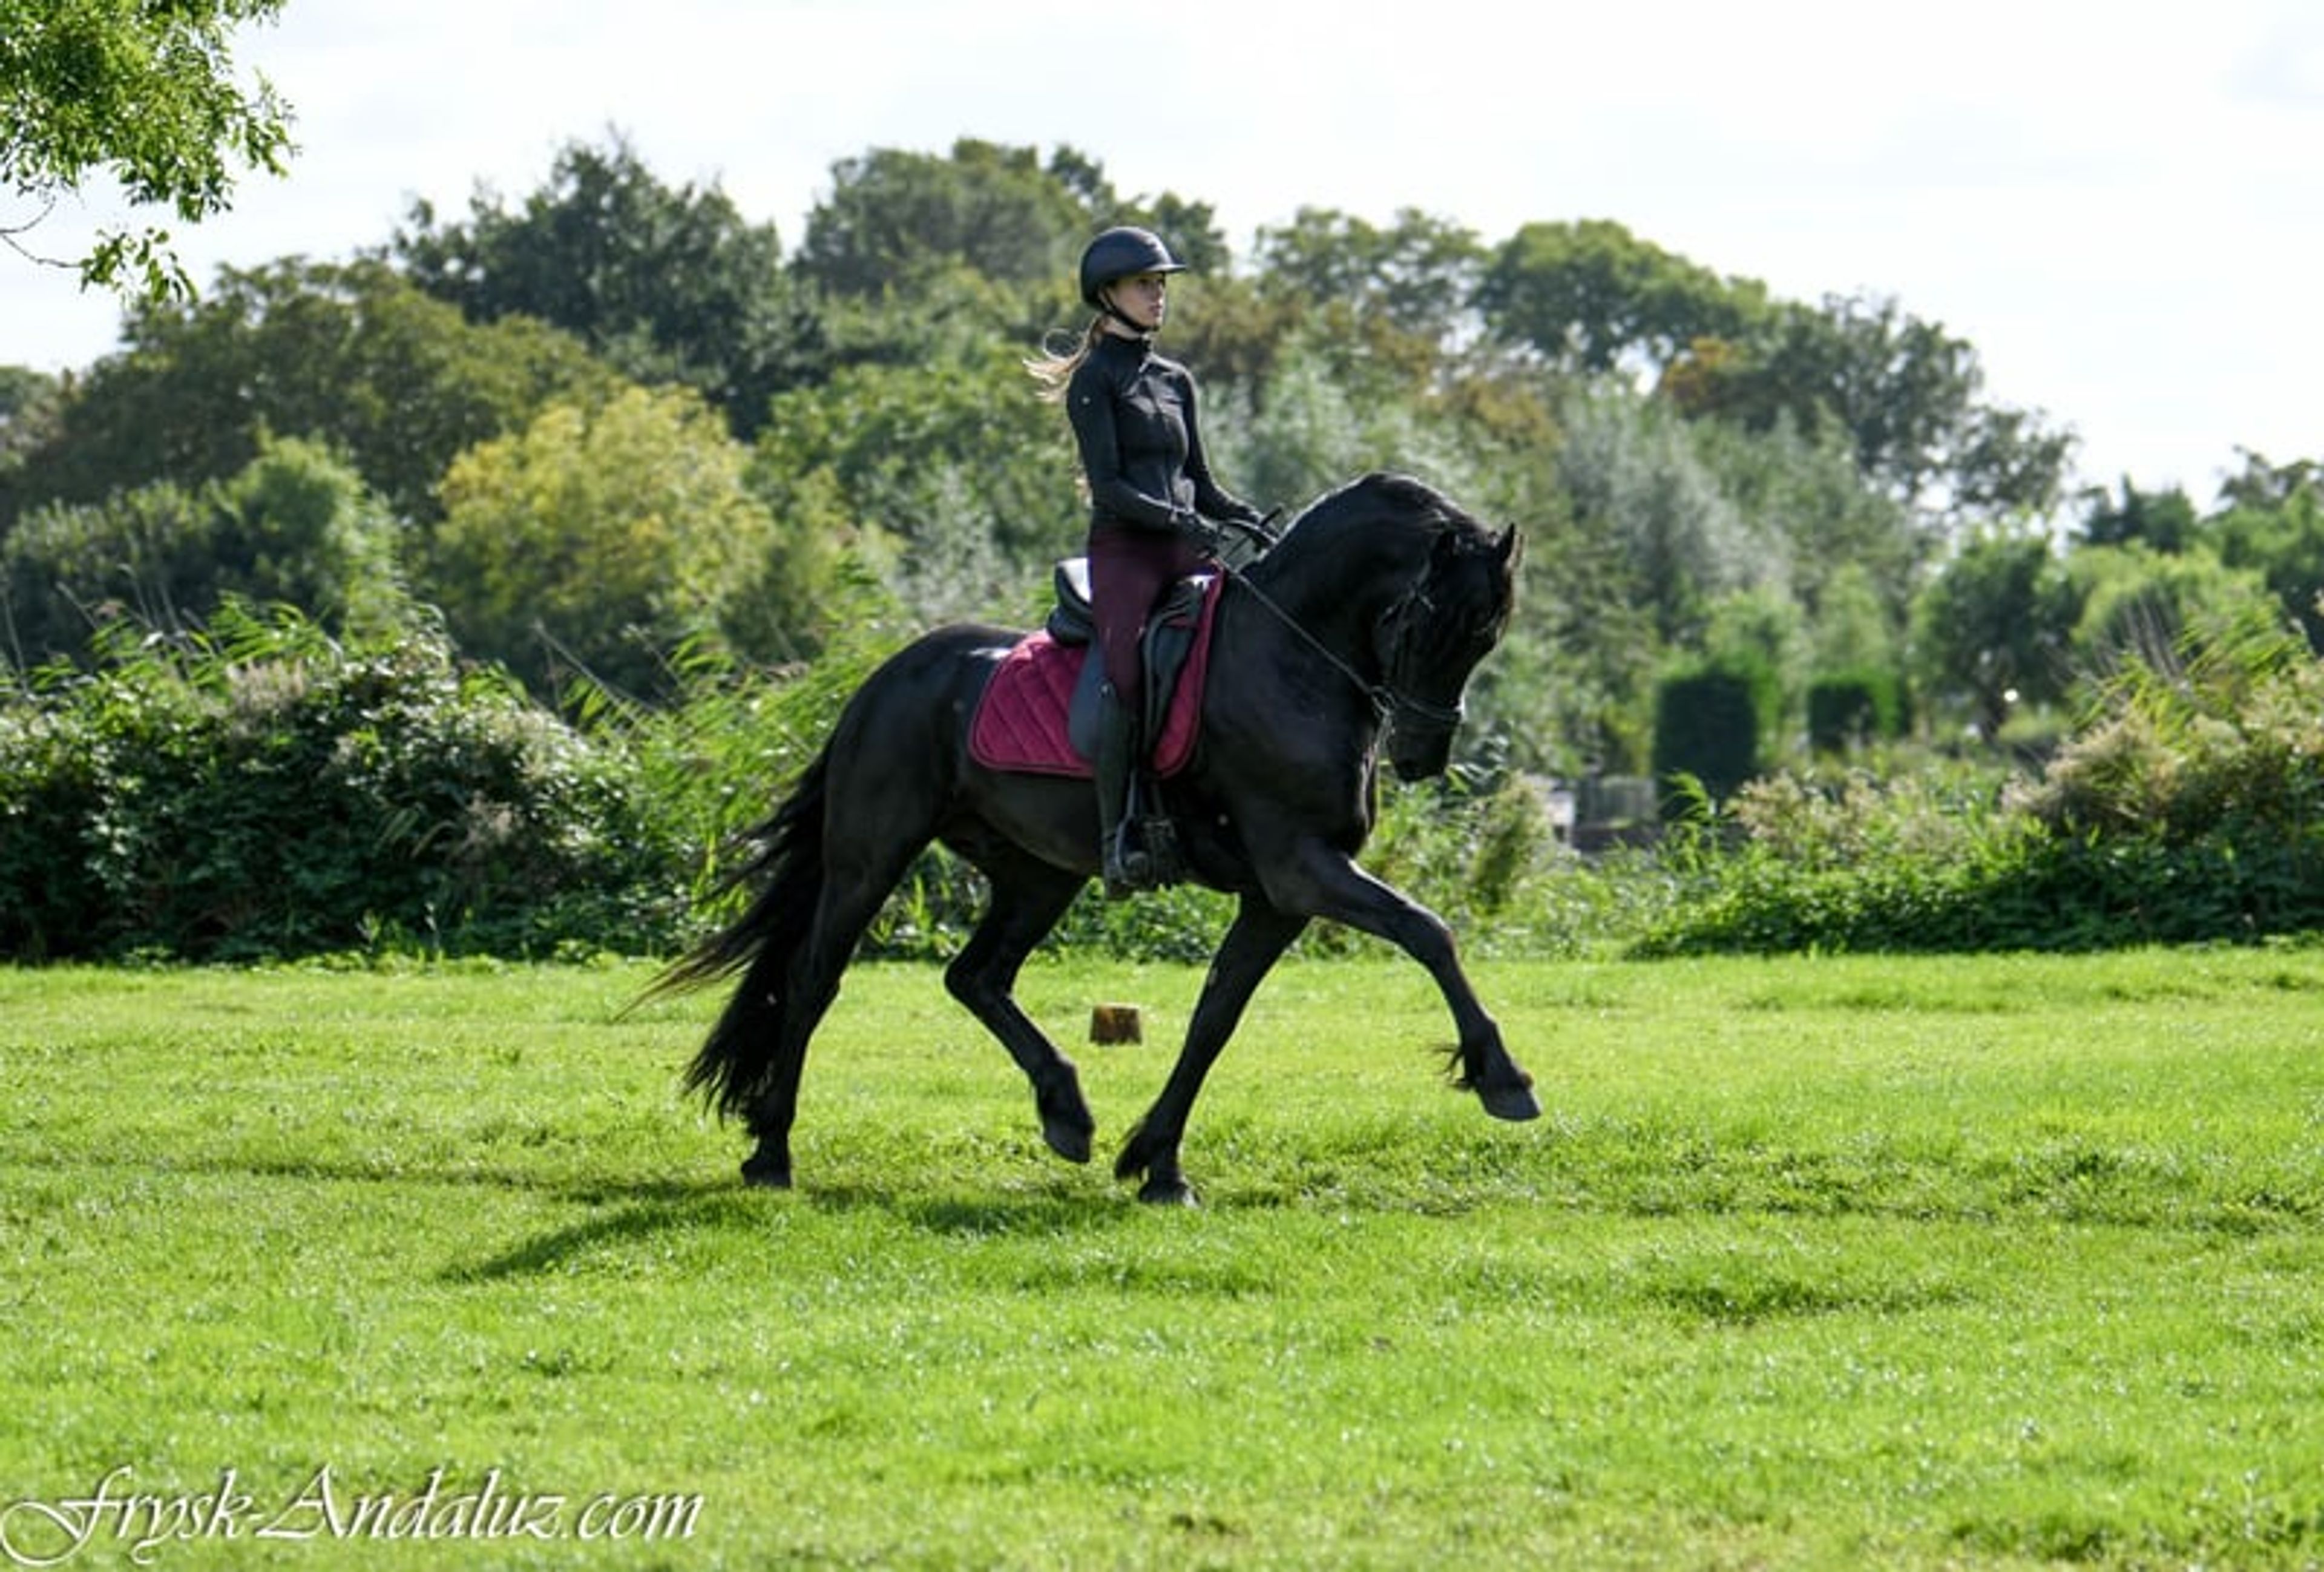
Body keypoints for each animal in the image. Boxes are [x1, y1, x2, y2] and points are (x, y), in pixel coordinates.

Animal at [649, 471, 1539, 1204]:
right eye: (1432, 622)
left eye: (1487, 634)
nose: (1422, 756)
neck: (1292, 656)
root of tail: (887, 677)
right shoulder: (1301, 869)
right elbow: (1428, 931)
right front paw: (1501, 1074)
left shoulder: (1277, 898)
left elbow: (1215, 1018)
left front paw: (1158, 1162)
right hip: (871, 857)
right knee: (813, 980)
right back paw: (772, 1152)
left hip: (1040, 873)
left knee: (976, 977)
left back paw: (1067, 1112)